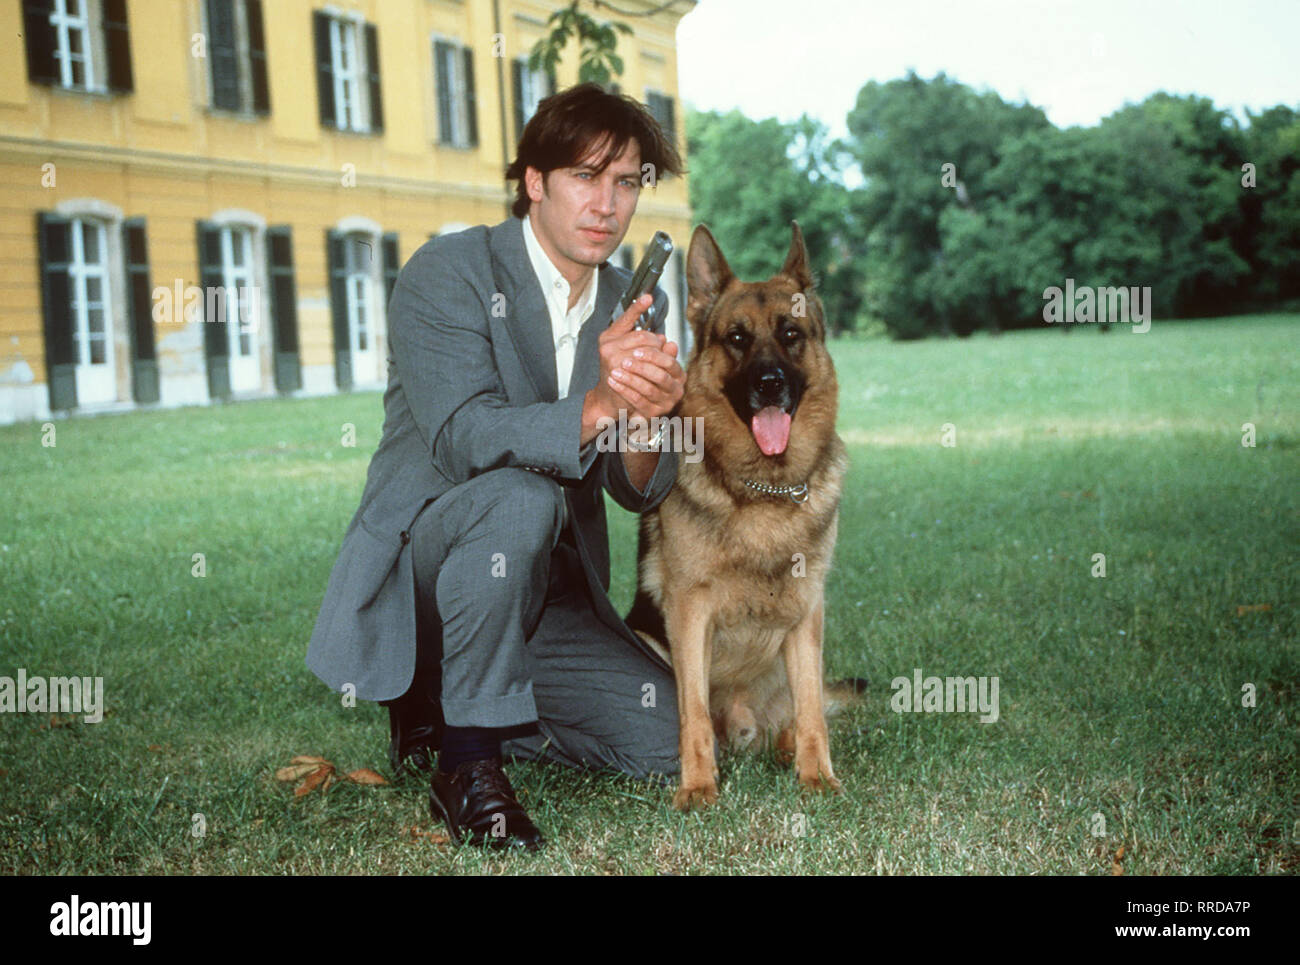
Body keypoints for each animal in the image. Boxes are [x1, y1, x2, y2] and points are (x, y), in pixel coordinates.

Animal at [624, 221, 857, 806]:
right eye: (736, 338)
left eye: (791, 333)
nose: (770, 383)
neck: (763, 491)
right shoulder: (689, 612)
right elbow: (693, 714)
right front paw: (697, 786)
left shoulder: (808, 612)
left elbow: (814, 710)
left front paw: (816, 776)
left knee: (797, 715)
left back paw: (786, 748)